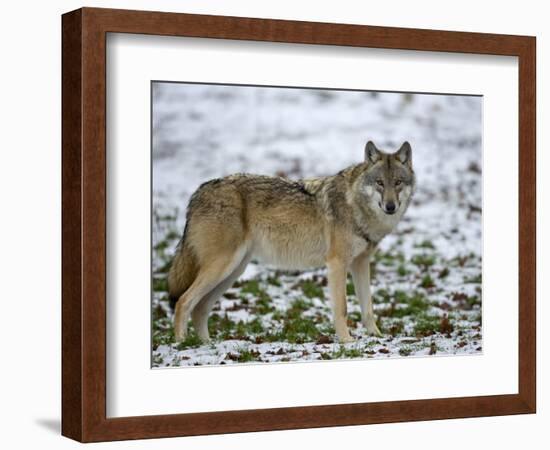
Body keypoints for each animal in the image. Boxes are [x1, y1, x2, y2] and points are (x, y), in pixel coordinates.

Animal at [170, 142, 416, 342]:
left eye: (398, 182)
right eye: (380, 183)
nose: (390, 207)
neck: (355, 205)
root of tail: (198, 192)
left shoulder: (361, 263)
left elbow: (368, 308)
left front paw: (377, 336)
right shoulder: (337, 264)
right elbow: (342, 308)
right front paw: (347, 341)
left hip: (233, 271)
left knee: (200, 308)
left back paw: (206, 345)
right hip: (223, 267)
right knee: (183, 301)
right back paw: (182, 344)